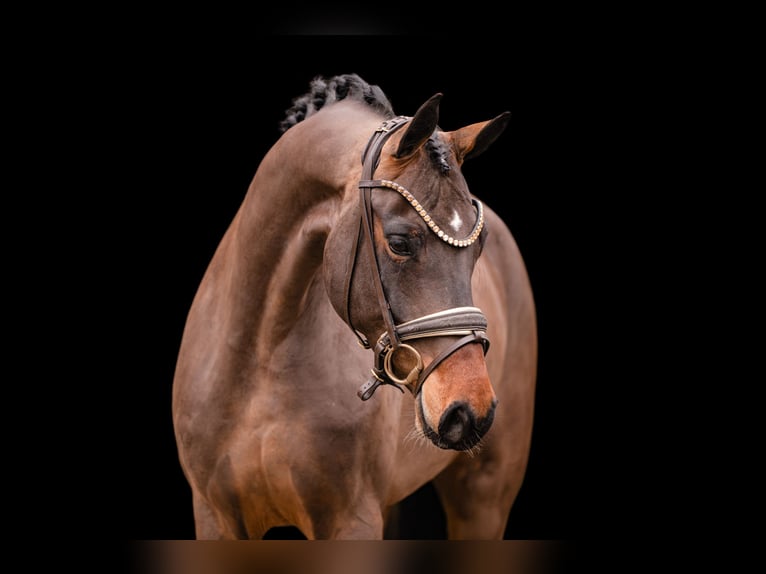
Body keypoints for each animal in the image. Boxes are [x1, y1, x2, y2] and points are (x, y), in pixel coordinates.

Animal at [172, 73, 537, 539]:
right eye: (399, 242)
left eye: (480, 246)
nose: (470, 409)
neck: (262, 359)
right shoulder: (216, 518)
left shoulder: (350, 520)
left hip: (483, 496)